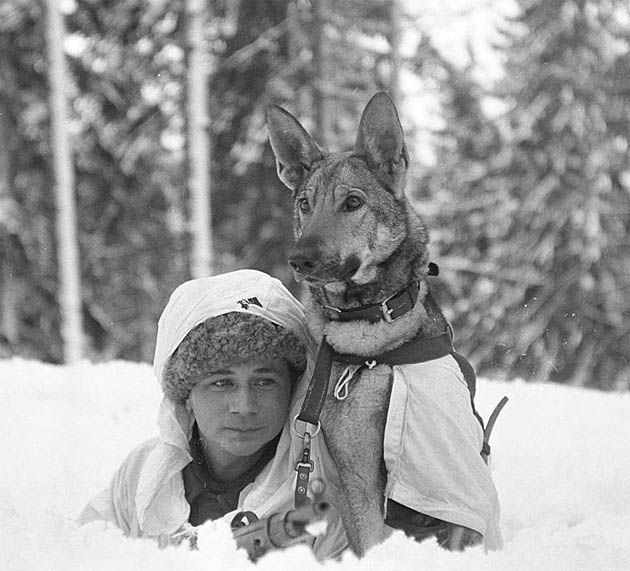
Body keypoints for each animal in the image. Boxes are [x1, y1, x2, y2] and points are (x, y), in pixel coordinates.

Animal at [270, 91, 492, 556]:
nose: (299, 259)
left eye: (353, 202)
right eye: (305, 204)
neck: (378, 341)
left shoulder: (458, 480)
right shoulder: (354, 474)